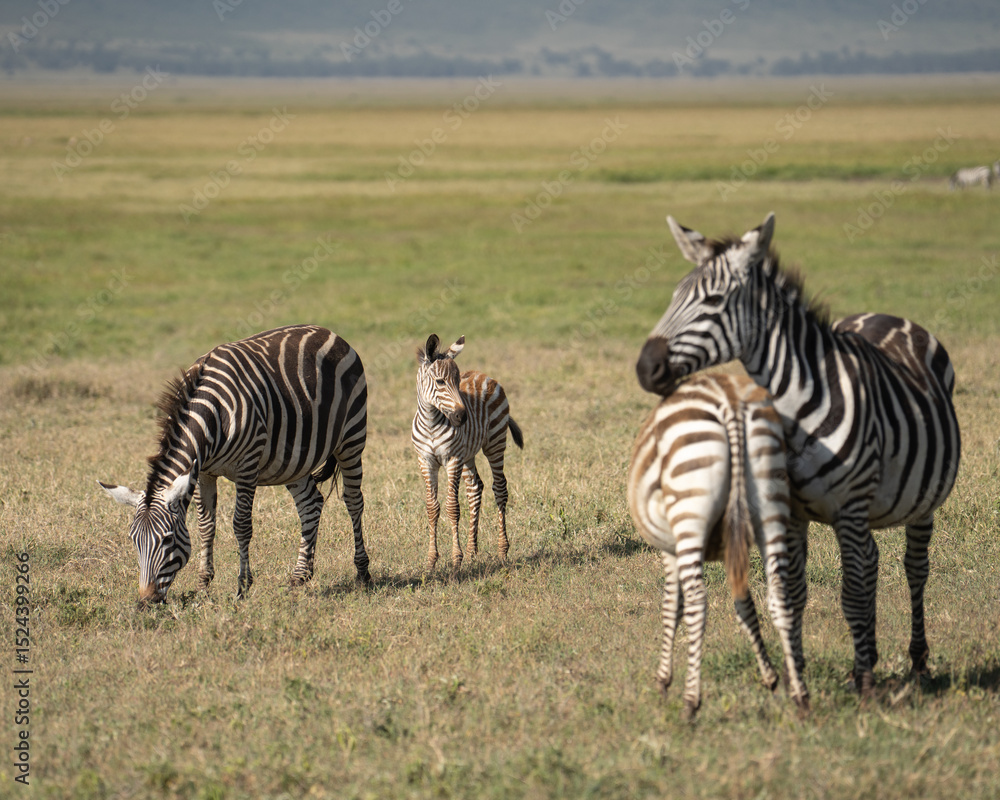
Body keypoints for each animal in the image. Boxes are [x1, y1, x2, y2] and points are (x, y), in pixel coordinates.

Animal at [100, 324, 371, 603]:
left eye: (167, 539)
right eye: (133, 540)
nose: (146, 601)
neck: (211, 414)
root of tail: (328, 332)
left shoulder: (247, 466)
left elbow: (241, 525)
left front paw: (243, 586)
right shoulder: (203, 471)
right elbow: (206, 526)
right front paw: (203, 585)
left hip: (352, 437)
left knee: (353, 501)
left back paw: (362, 572)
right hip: (294, 459)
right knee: (311, 504)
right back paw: (300, 576)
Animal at [412, 334, 523, 572]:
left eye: (457, 381)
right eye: (441, 382)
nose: (462, 418)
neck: (431, 423)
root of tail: (483, 374)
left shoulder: (452, 458)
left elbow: (452, 508)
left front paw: (456, 559)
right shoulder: (426, 461)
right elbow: (432, 508)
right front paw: (431, 560)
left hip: (495, 443)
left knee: (500, 489)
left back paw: (502, 550)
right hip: (468, 454)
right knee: (474, 488)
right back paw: (473, 551)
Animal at [628, 373, 809, 719]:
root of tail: (731, 401)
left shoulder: (670, 550)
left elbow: (671, 607)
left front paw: (663, 681)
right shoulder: (730, 551)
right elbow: (745, 605)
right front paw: (769, 675)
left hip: (689, 513)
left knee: (698, 602)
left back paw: (690, 702)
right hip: (770, 503)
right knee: (780, 597)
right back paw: (800, 696)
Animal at [635, 213, 961, 695]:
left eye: (713, 300)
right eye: (675, 295)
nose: (645, 368)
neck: (797, 406)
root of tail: (887, 315)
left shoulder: (849, 506)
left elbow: (850, 593)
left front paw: (864, 683)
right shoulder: (788, 510)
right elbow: (792, 593)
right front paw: (799, 673)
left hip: (919, 501)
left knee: (912, 567)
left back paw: (916, 660)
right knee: (872, 562)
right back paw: (870, 654)